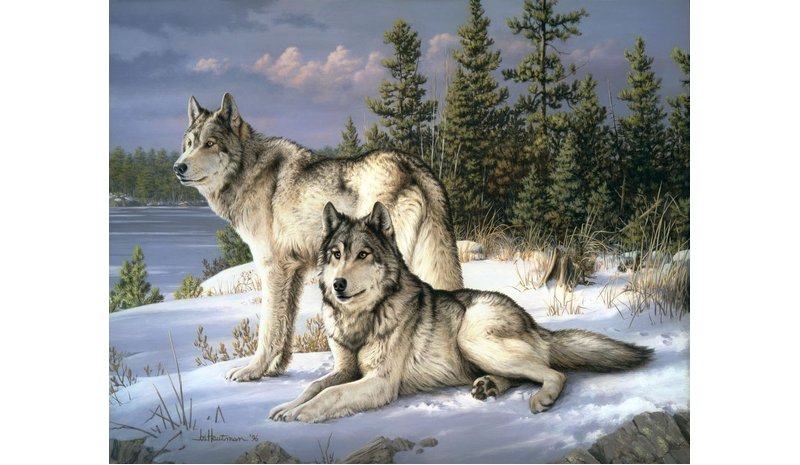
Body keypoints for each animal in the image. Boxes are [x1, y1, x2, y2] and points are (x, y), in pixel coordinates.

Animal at [173, 94, 463, 381]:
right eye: (189, 144)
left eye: (210, 143)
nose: (178, 167)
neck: (248, 171)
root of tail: (414, 166)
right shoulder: (294, 271)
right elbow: (285, 326)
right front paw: (275, 369)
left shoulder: (272, 269)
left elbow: (268, 328)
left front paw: (252, 371)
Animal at [269, 202, 653, 423]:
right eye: (336, 254)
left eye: (363, 255)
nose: (338, 285)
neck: (361, 319)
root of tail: (533, 322)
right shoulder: (345, 369)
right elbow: (315, 386)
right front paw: (287, 406)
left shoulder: (380, 381)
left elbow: (329, 394)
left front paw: (300, 414)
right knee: (527, 373)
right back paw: (489, 386)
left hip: (473, 339)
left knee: (554, 373)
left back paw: (540, 398)